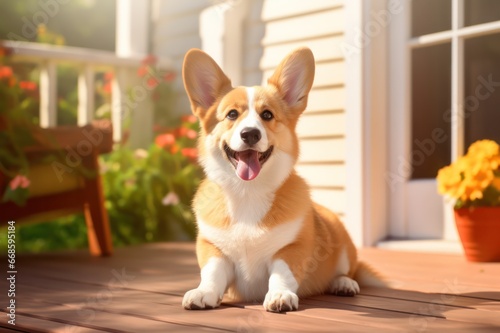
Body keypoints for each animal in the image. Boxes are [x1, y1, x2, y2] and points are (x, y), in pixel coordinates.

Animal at [182, 46, 384, 312]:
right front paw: (203, 292)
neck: (248, 192)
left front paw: (280, 296)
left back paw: (344, 283)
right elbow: (212, 272)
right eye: (232, 114)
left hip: (341, 243)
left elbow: (282, 273)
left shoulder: (292, 248)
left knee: (349, 270)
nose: (250, 134)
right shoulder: (212, 246)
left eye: (267, 115)